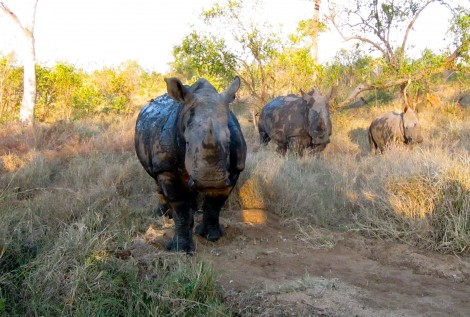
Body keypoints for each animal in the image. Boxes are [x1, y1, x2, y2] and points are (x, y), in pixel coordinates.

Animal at [134, 76, 246, 252]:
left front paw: (212, 236)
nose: (210, 181)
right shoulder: (166, 169)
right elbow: (180, 207)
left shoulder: (234, 169)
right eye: (187, 142)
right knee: (156, 181)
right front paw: (181, 249)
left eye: (229, 142)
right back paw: (162, 215)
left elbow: (215, 204)